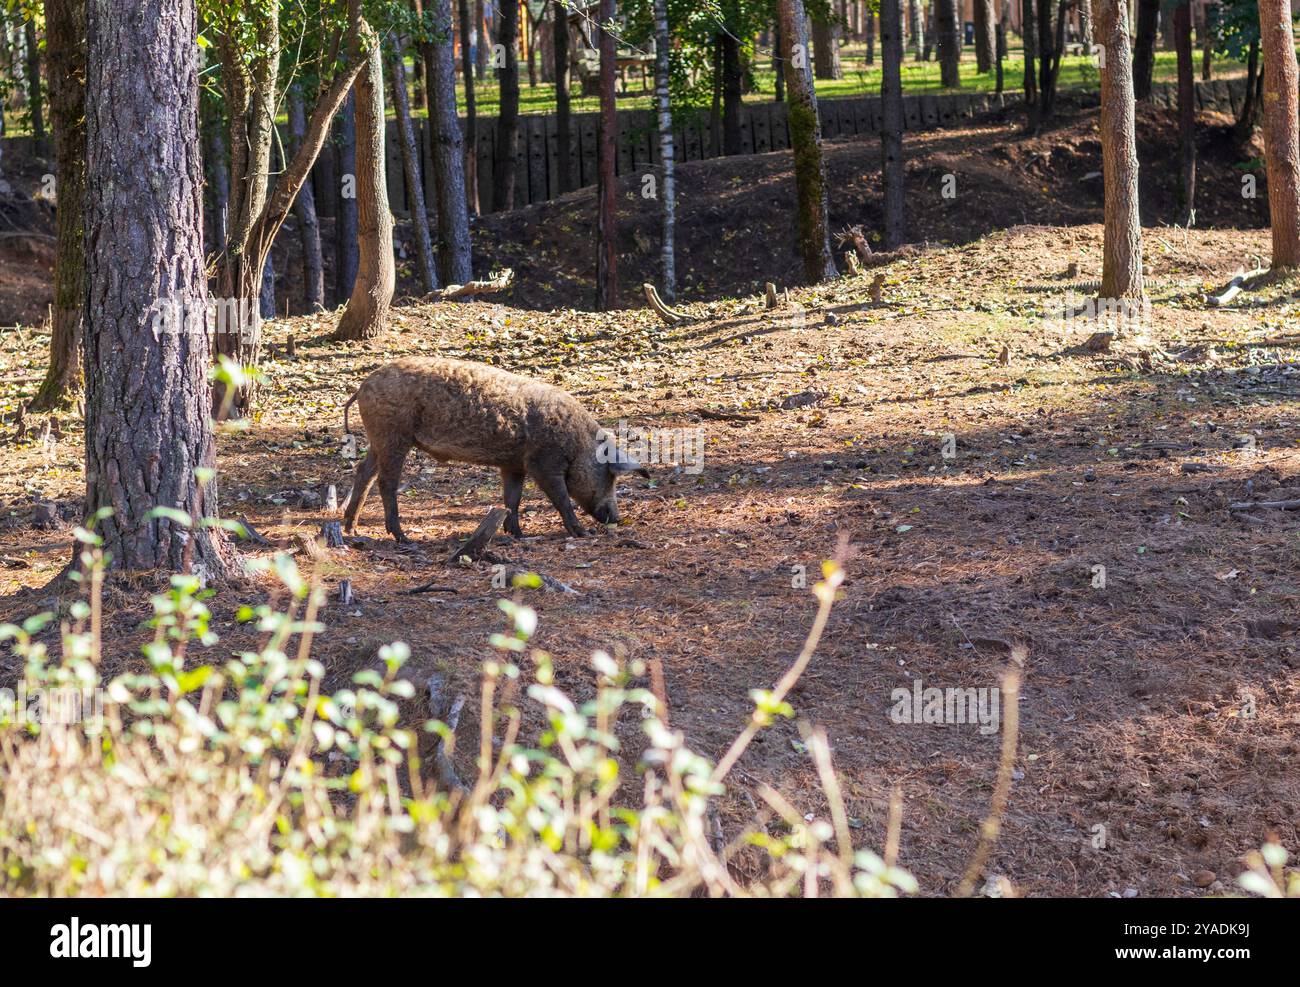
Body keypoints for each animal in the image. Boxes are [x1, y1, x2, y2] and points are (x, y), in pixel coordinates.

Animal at [338, 356, 647, 540]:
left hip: (378, 438)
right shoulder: (542, 463)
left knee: (363, 472)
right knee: (386, 482)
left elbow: (512, 498)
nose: (617, 518)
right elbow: (560, 498)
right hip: (393, 435)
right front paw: (581, 533)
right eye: (610, 476)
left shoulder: (514, 465)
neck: (577, 444)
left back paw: (351, 528)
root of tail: (363, 385)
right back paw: (401, 536)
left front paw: (517, 535)